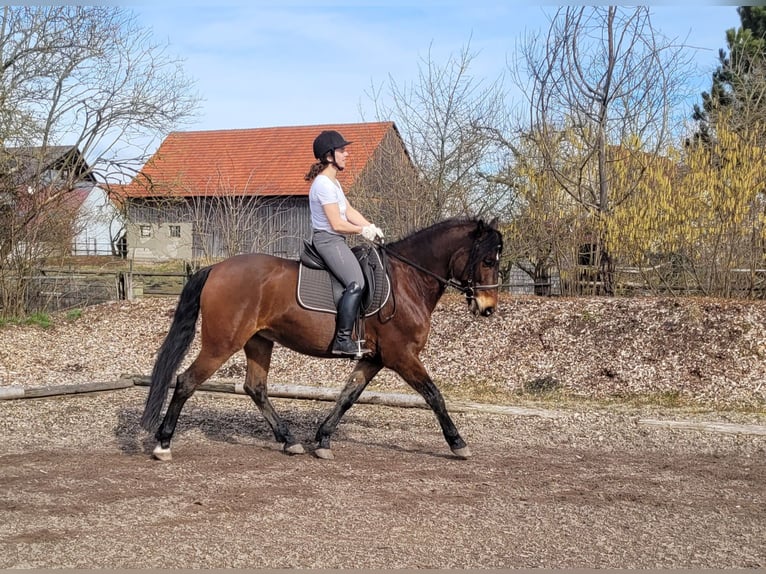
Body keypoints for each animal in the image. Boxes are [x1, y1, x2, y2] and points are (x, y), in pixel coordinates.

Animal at [142, 217, 508, 464]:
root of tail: (216, 268)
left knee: (255, 388)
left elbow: (348, 396)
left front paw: (322, 440)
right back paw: (163, 444)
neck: (409, 281)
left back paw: (289, 440)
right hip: (222, 344)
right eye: (488, 260)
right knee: (186, 382)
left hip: (259, 341)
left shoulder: (373, 358)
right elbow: (434, 396)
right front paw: (458, 443)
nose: (487, 308)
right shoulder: (402, 356)